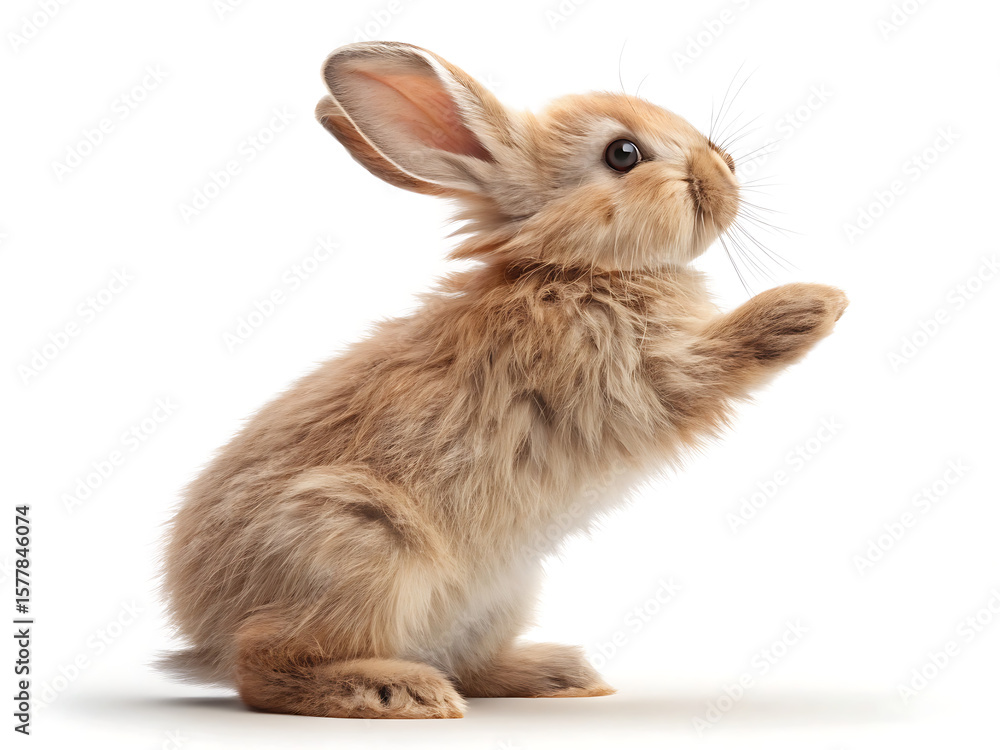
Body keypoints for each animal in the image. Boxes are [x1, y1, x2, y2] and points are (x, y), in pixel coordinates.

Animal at [160, 41, 847, 719]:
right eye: (623, 154)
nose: (726, 168)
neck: (573, 268)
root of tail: (206, 636)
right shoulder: (635, 377)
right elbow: (709, 365)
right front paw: (812, 306)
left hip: (501, 595)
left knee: (467, 663)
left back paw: (559, 675)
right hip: (359, 546)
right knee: (265, 667)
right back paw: (397, 691)